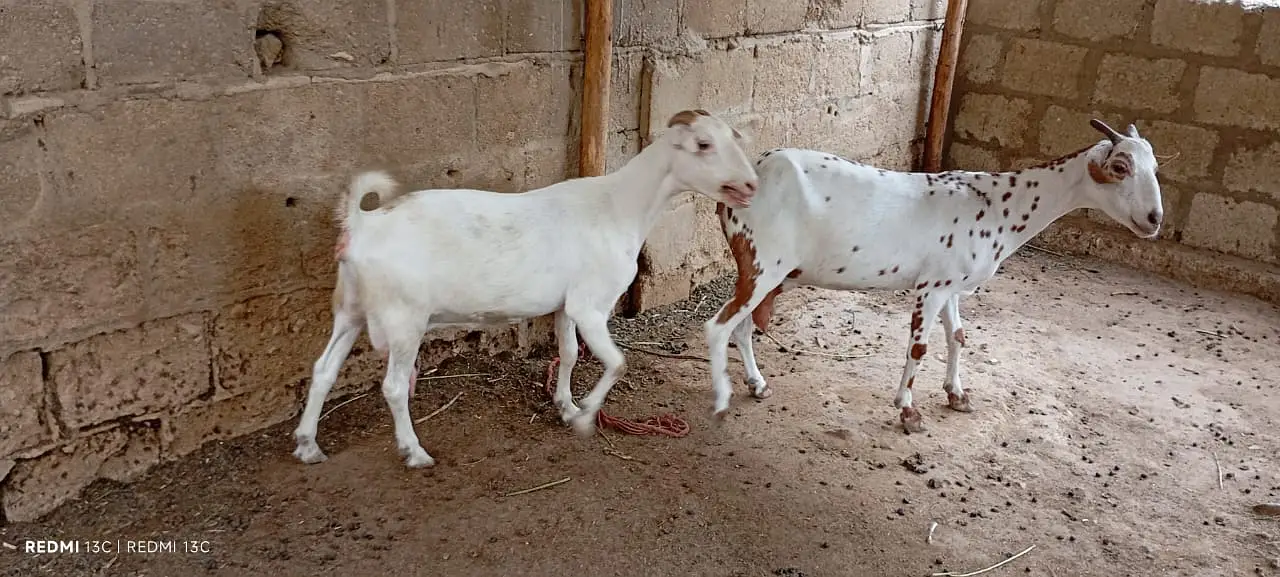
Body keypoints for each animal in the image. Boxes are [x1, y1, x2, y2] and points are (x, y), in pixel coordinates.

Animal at [293, 109, 759, 468]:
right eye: (703, 144)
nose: (751, 185)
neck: (620, 207)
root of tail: (361, 225)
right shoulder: (591, 305)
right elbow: (616, 363)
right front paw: (586, 417)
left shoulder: (566, 306)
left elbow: (569, 354)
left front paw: (566, 406)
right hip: (403, 317)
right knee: (392, 386)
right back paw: (414, 452)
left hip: (350, 310)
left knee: (323, 370)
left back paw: (307, 445)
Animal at [703, 119, 1163, 433]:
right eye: (1120, 166)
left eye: (1155, 166)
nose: (1155, 219)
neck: (1001, 206)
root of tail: (743, 182)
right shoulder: (932, 287)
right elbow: (920, 347)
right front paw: (908, 409)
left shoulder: (952, 285)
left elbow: (958, 337)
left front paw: (957, 395)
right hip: (763, 264)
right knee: (719, 326)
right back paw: (723, 399)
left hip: (767, 271)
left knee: (742, 327)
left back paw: (758, 384)